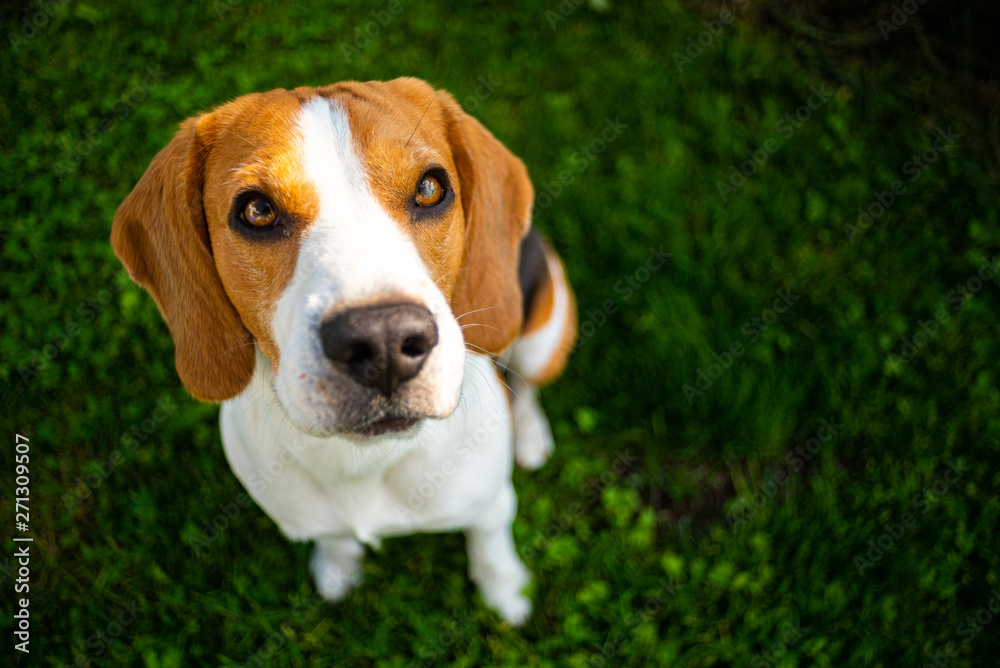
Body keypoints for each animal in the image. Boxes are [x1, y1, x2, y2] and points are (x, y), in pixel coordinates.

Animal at [110, 78, 576, 628]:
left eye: (430, 188)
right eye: (257, 211)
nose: (384, 341)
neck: (363, 461)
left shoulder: (490, 506)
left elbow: (491, 547)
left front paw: (506, 594)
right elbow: (333, 541)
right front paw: (337, 569)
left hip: (546, 331)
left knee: (526, 385)